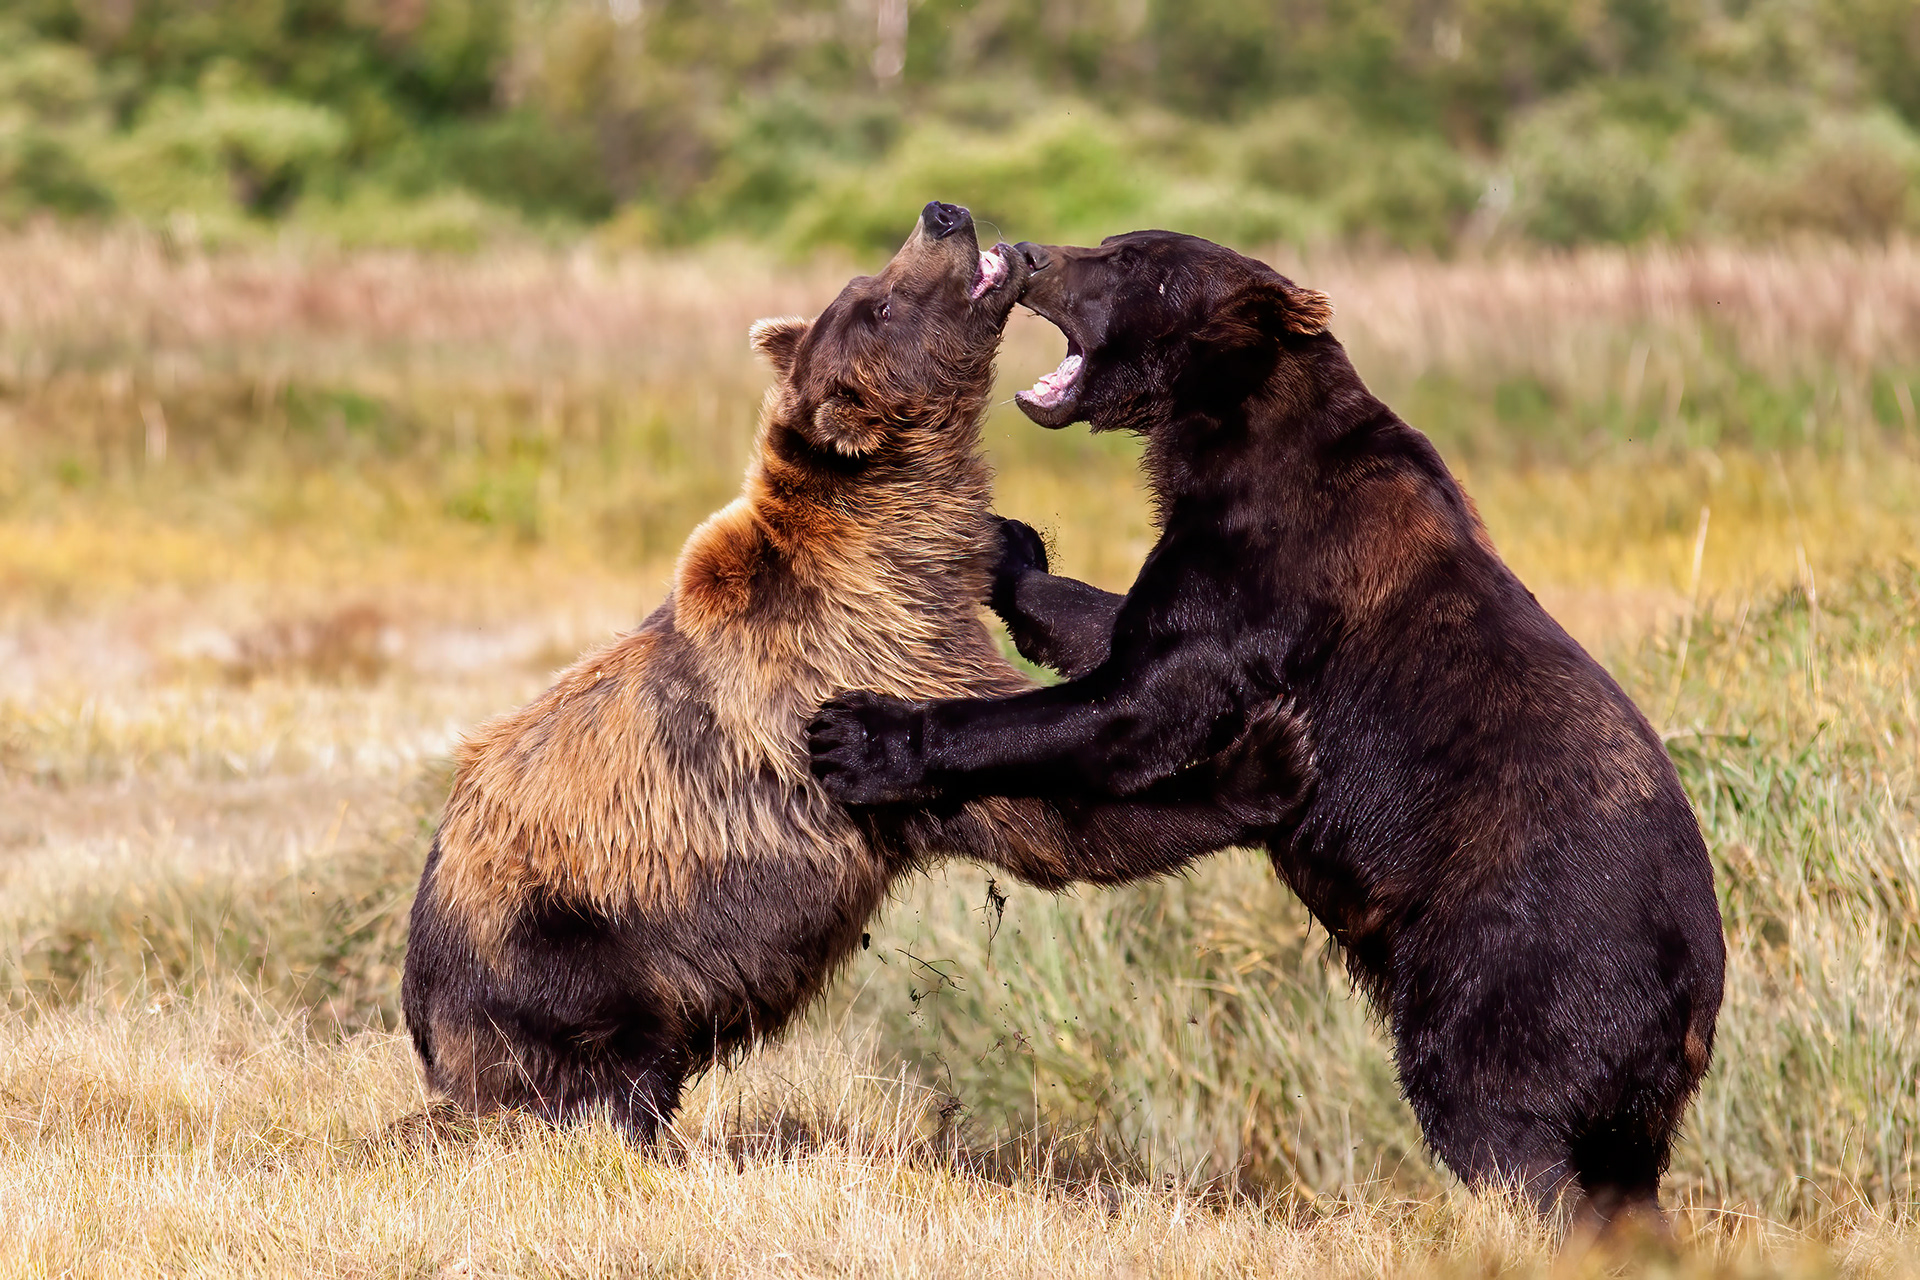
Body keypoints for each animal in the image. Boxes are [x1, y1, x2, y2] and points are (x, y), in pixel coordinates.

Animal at [401, 207, 1305, 1143]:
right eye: (878, 305)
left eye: (864, 283)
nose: (943, 216)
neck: (899, 548)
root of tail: (423, 1009)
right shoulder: (878, 653)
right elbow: (1047, 805)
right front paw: (1262, 758)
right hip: (569, 937)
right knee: (600, 1070)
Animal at [807, 230, 1726, 1225]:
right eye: (1113, 242)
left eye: (1132, 262)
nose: (1030, 252)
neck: (1226, 435)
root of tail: (1697, 998)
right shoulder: (1212, 561)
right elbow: (1116, 631)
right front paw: (1011, 548)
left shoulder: (1275, 565)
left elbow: (1138, 708)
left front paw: (862, 735)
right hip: (1632, 1090)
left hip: (1527, 960)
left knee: (1496, 1117)